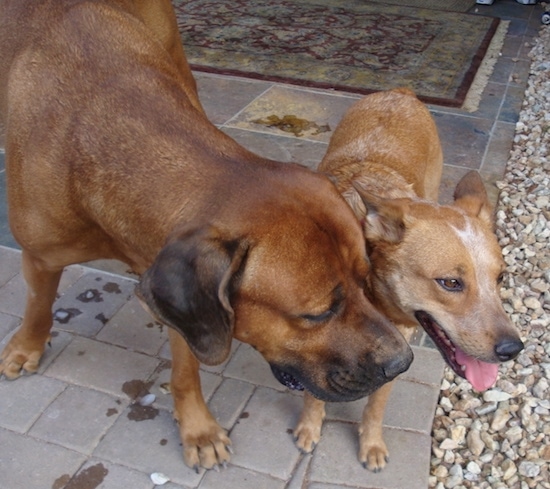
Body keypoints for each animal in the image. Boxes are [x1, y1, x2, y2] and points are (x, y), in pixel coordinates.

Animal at [0, 0, 414, 472]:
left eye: (366, 281)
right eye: (316, 314)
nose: (403, 362)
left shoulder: (181, 291)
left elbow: (187, 365)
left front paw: (197, 429)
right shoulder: (40, 255)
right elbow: (38, 304)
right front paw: (26, 347)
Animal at [294, 89, 528, 470]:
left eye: (501, 277)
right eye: (450, 283)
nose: (512, 349)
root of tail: (398, 93)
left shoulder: (397, 349)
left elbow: (376, 404)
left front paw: (371, 445)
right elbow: (316, 391)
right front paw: (309, 428)